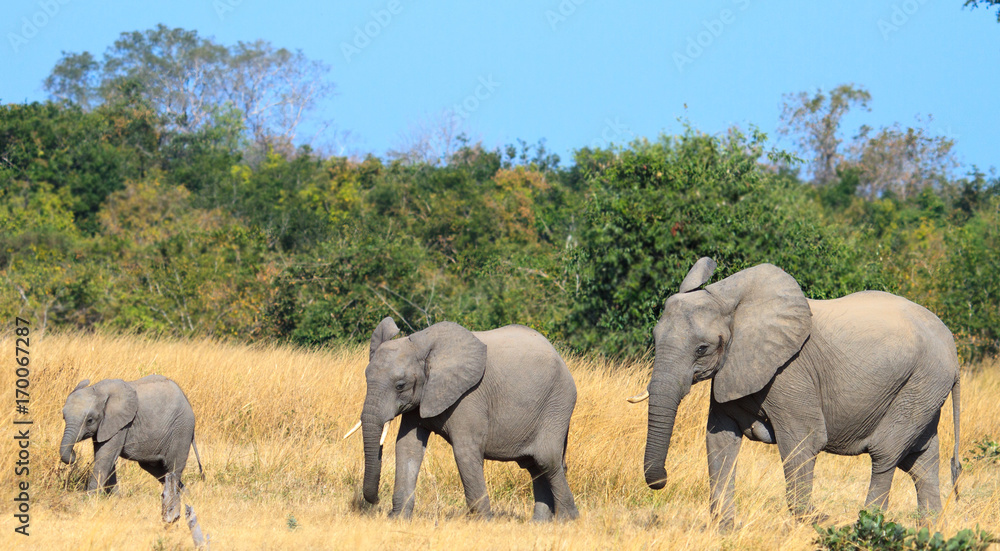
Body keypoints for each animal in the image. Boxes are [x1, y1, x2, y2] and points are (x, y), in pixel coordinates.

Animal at [60, 374, 203, 522]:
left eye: (90, 420)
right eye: (63, 417)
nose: (73, 454)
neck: (98, 389)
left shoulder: (121, 424)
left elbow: (105, 458)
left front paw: (91, 501)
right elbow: (107, 458)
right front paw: (115, 500)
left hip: (181, 430)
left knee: (173, 468)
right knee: (158, 470)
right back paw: (188, 495)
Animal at [354, 318, 579, 521]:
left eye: (400, 385)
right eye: (366, 378)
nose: (376, 501)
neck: (423, 345)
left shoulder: (469, 396)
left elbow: (464, 451)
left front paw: (483, 522)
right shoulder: (421, 399)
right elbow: (407, 448)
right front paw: (397, 519)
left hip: (557, 403)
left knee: (546, 459)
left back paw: (567, 520)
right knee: (534, 466)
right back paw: (539, 523)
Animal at [638, 258, 961, 530]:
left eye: (702, 349)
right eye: (654, 338)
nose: (661, 480)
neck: (729, 300)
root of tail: (952, 346)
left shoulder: (789, 374)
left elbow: (805, 439)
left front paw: (815, 521)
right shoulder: (734, 371)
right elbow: (720, 440)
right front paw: (726, 529)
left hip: (923, 380)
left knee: (885, 453)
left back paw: (867, 524)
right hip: (923, 389)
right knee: (921, 461)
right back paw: (932, 529)